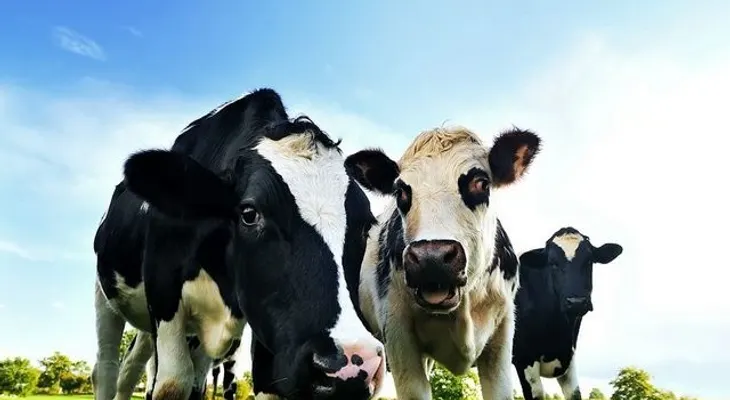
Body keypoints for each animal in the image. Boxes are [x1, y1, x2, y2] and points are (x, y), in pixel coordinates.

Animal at [92, 88, 387, 400]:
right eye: (249, 213)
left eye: (365, 226)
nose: (352, 363)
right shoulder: (163, 290)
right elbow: (172, 384)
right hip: (105, 297)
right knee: (108, 367)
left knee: (133, 369)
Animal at [512, 227, 623, 400]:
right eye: (553, 263)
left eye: (589, 261)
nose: (576, 302)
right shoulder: (523, 358)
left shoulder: (569, 358)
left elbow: (575, 393)